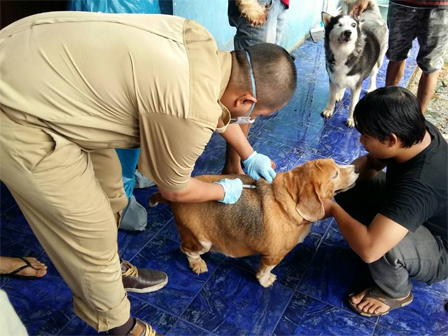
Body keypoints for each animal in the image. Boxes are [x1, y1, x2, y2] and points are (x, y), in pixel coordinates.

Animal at [149, 159, 358, 288]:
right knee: (187, 250)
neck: (290, 199)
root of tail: (172, 197)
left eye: (336, 163)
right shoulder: (273, 255)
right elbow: (264, 272)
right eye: (335, 174)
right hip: (200, 240)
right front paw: (265, 281)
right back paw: (197, 264)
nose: (356, 168)